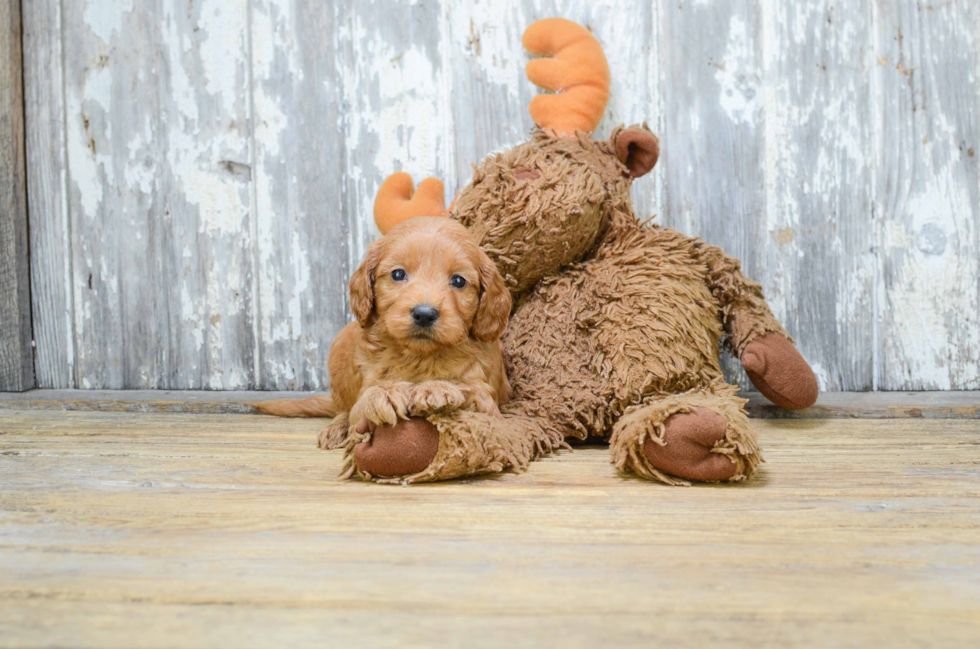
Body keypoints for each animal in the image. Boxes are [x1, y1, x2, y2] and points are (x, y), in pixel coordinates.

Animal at [253, 215, 512, 448]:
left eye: (459, 281)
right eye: (398, 274)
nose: (424, 314)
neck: (420, 355)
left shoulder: (491, 408)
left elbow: (470, 389)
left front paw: (438, 387)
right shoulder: (365, 388)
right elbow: (362, 403)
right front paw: (385, 394)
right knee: (342, 408)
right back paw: (337, 428)